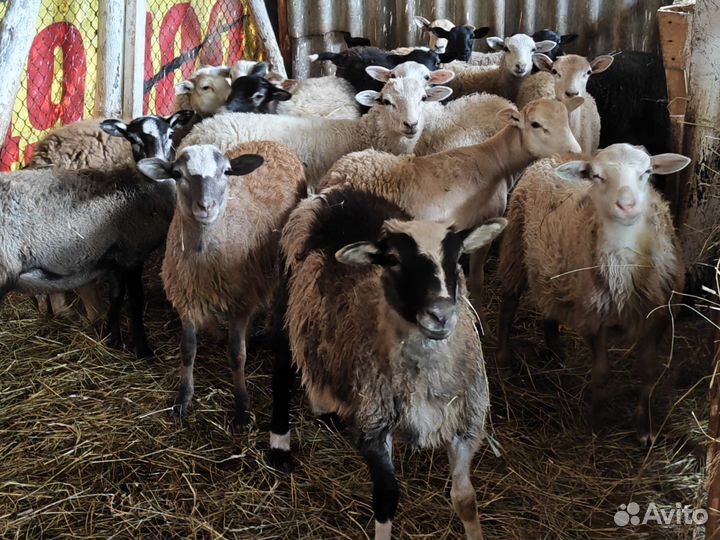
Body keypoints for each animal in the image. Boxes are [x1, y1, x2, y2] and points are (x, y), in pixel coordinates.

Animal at [0, 162, 178, 358]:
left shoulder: (114, 261)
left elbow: (116, 296)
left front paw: (113, 339)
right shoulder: (132, 255)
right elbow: (136, 301)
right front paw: (143, 350)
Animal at [137, 142, 305, 429]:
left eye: (226, 171)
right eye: (177, 174)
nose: (206, 207)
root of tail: (274, 143)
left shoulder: (239, 304)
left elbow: (237, 354)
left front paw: (242, 407)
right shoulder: (186, 300)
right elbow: (187, 351)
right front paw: (183, 398)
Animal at [269, 185, 505, 539]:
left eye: (457, 257)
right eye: (392, 260)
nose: (440, 314)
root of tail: (336, 192)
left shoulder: (465, 426)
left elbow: (466, 499)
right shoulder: (375, 426)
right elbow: (387, 496)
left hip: (317, 319)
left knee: (316, 355)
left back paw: (326, 410)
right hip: (288, 302)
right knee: (283, 370)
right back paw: (279, 446)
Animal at [318, 98, 583, 326]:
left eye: (567, 120)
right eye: (536, 124)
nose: (574, 152)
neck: (496, 162)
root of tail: (335, 174)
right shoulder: (484, 224)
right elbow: (477, 280)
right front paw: (481, 322)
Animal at [496, 144, 691, 445]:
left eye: (647, 172)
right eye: (596, 176)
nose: (626, 206)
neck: (625, 266)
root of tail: (557, 154)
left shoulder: (658, 312)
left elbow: (648, 370)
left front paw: (645, 428)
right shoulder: (593, 315)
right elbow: (601, 372)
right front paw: (596, 424)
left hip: (553, 268)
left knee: (549, 305)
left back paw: (555, 349)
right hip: (515, 244)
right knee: (508, 304)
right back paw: (505, 357)